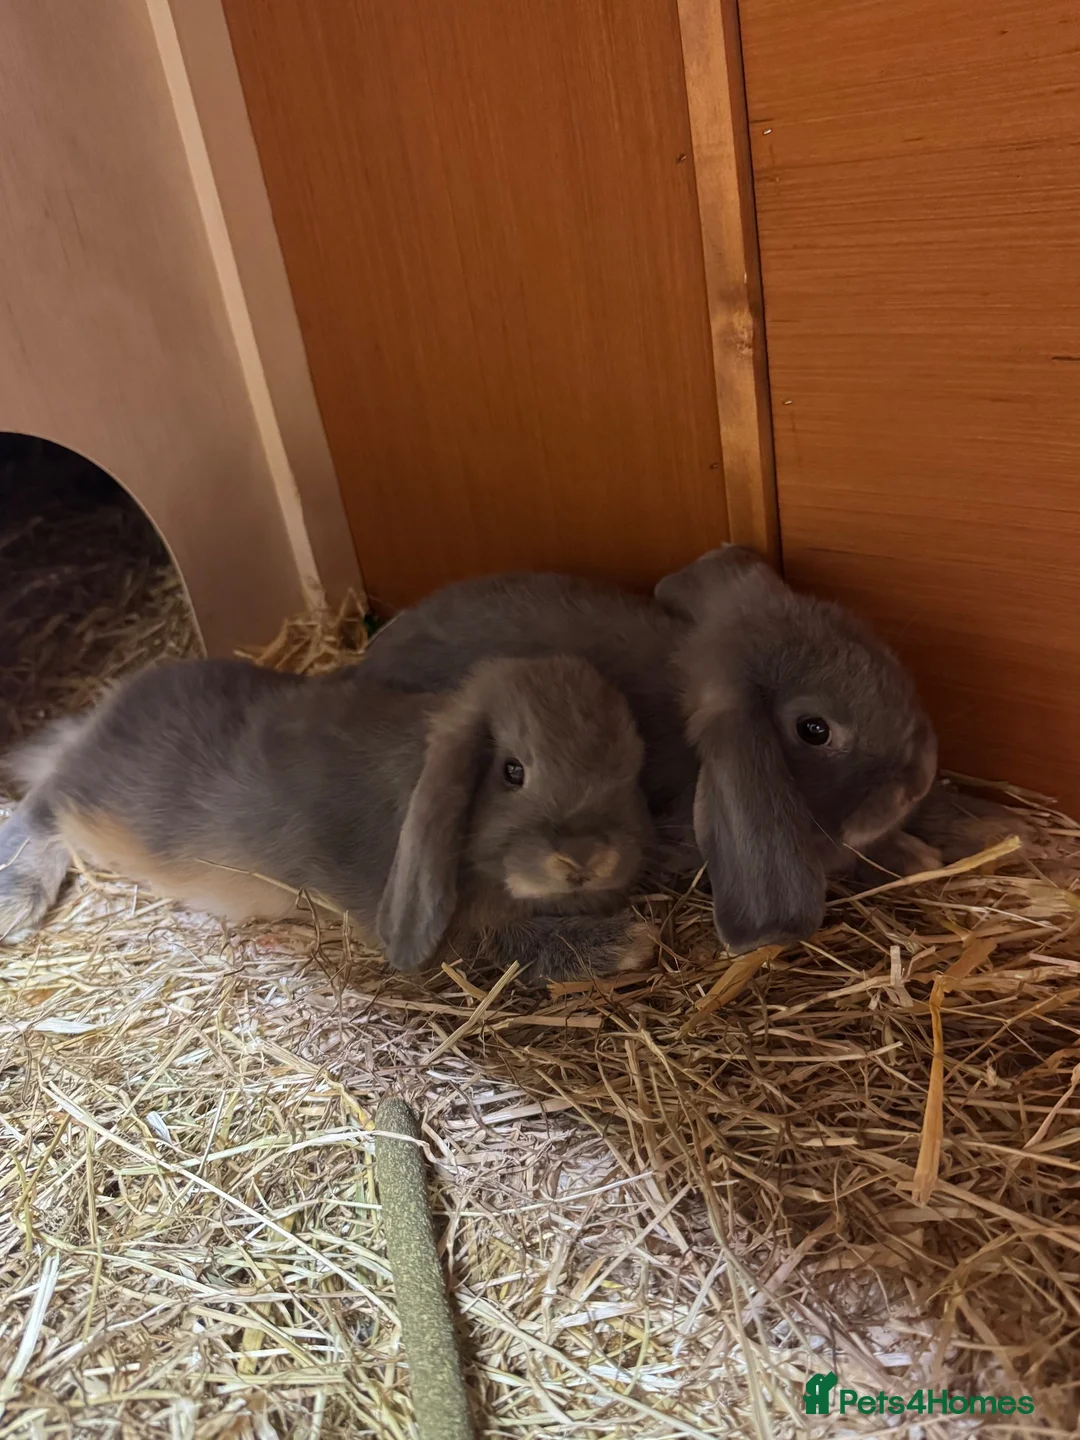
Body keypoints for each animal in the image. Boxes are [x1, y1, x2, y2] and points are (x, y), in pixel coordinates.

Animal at [0, 653, 654, 984]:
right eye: (513, 771)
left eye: (632, 764)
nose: (586, 859)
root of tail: (102, 714)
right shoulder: (453, 932)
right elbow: (513, 943)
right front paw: (632, 943)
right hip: (100, 804)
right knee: (41, 807)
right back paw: (17, 902)